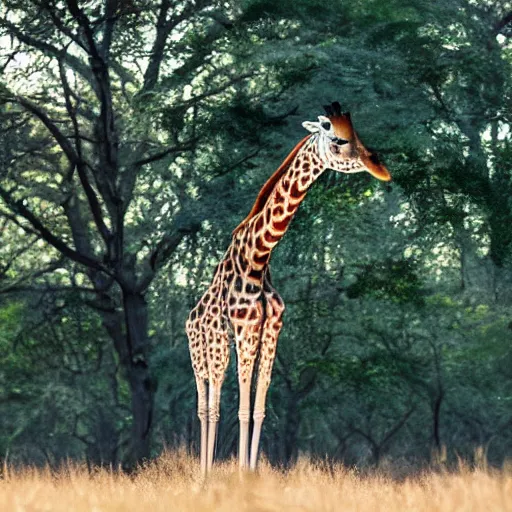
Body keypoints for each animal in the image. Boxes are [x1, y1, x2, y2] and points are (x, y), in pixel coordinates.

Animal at [186, 102, 390, 474]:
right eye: (335, 136)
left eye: (358, 134)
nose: (380, 168)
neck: (258, 257)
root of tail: (190, 317)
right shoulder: (244, 329)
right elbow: (240, 409)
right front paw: (238, 475)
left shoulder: (270, 330)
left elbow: (258, 408)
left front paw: (250, 474)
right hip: (205, 350)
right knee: (208, 406)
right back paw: (204, 475)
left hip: (218, 350)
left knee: (212, 403)